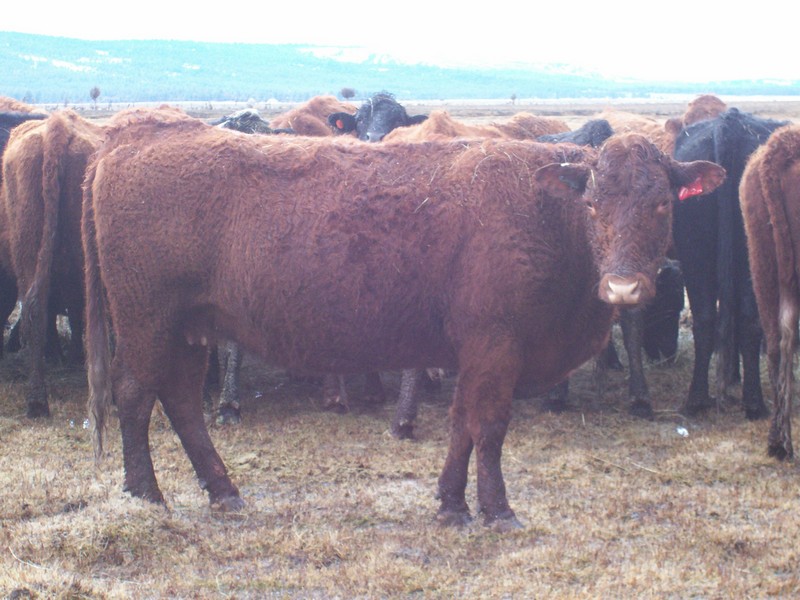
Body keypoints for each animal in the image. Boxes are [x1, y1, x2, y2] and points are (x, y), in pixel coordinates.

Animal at [83, 107, 724, 529]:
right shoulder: (497, 348)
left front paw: (452, 505)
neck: (545, 213)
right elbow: (489, 428)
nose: (622, 285)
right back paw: (145, 495)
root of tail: (130, 136)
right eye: (592, 205)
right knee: (136, 394)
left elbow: (463, 425)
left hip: (190, 330)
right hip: (148, 322)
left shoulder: (475, 355)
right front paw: (498, 510)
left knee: (181, 402)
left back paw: (223, 492)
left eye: (661, 204)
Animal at [672, 108, 788, 420]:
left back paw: (697, 400)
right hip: (750, 257)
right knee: (748, 320)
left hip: (695, 254)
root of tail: (730, 122)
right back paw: (754, 402)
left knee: (705, 319)